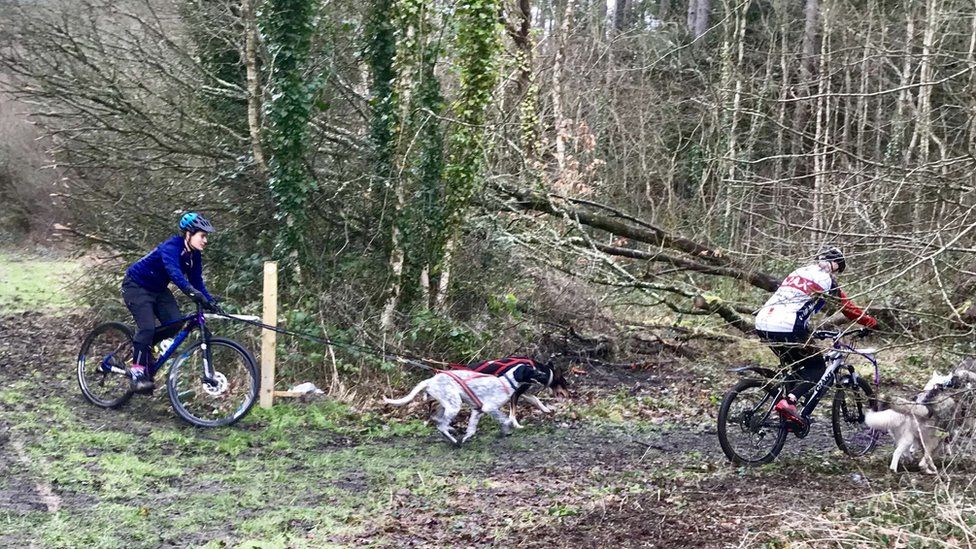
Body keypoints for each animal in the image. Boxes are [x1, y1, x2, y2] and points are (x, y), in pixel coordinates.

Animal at [384, 360, 564, 446]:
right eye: (532, 370)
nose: (542, 374)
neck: (506, 382)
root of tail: (430, 380)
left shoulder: (477, 411)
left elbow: (471, 429)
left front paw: (467, 437)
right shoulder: (490, 408)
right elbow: (505, 419)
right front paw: (508, 428)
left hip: (446, 404)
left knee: (437, 419)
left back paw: (452, 432)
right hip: (454, 404)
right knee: (441, 425)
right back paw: (453, 440)